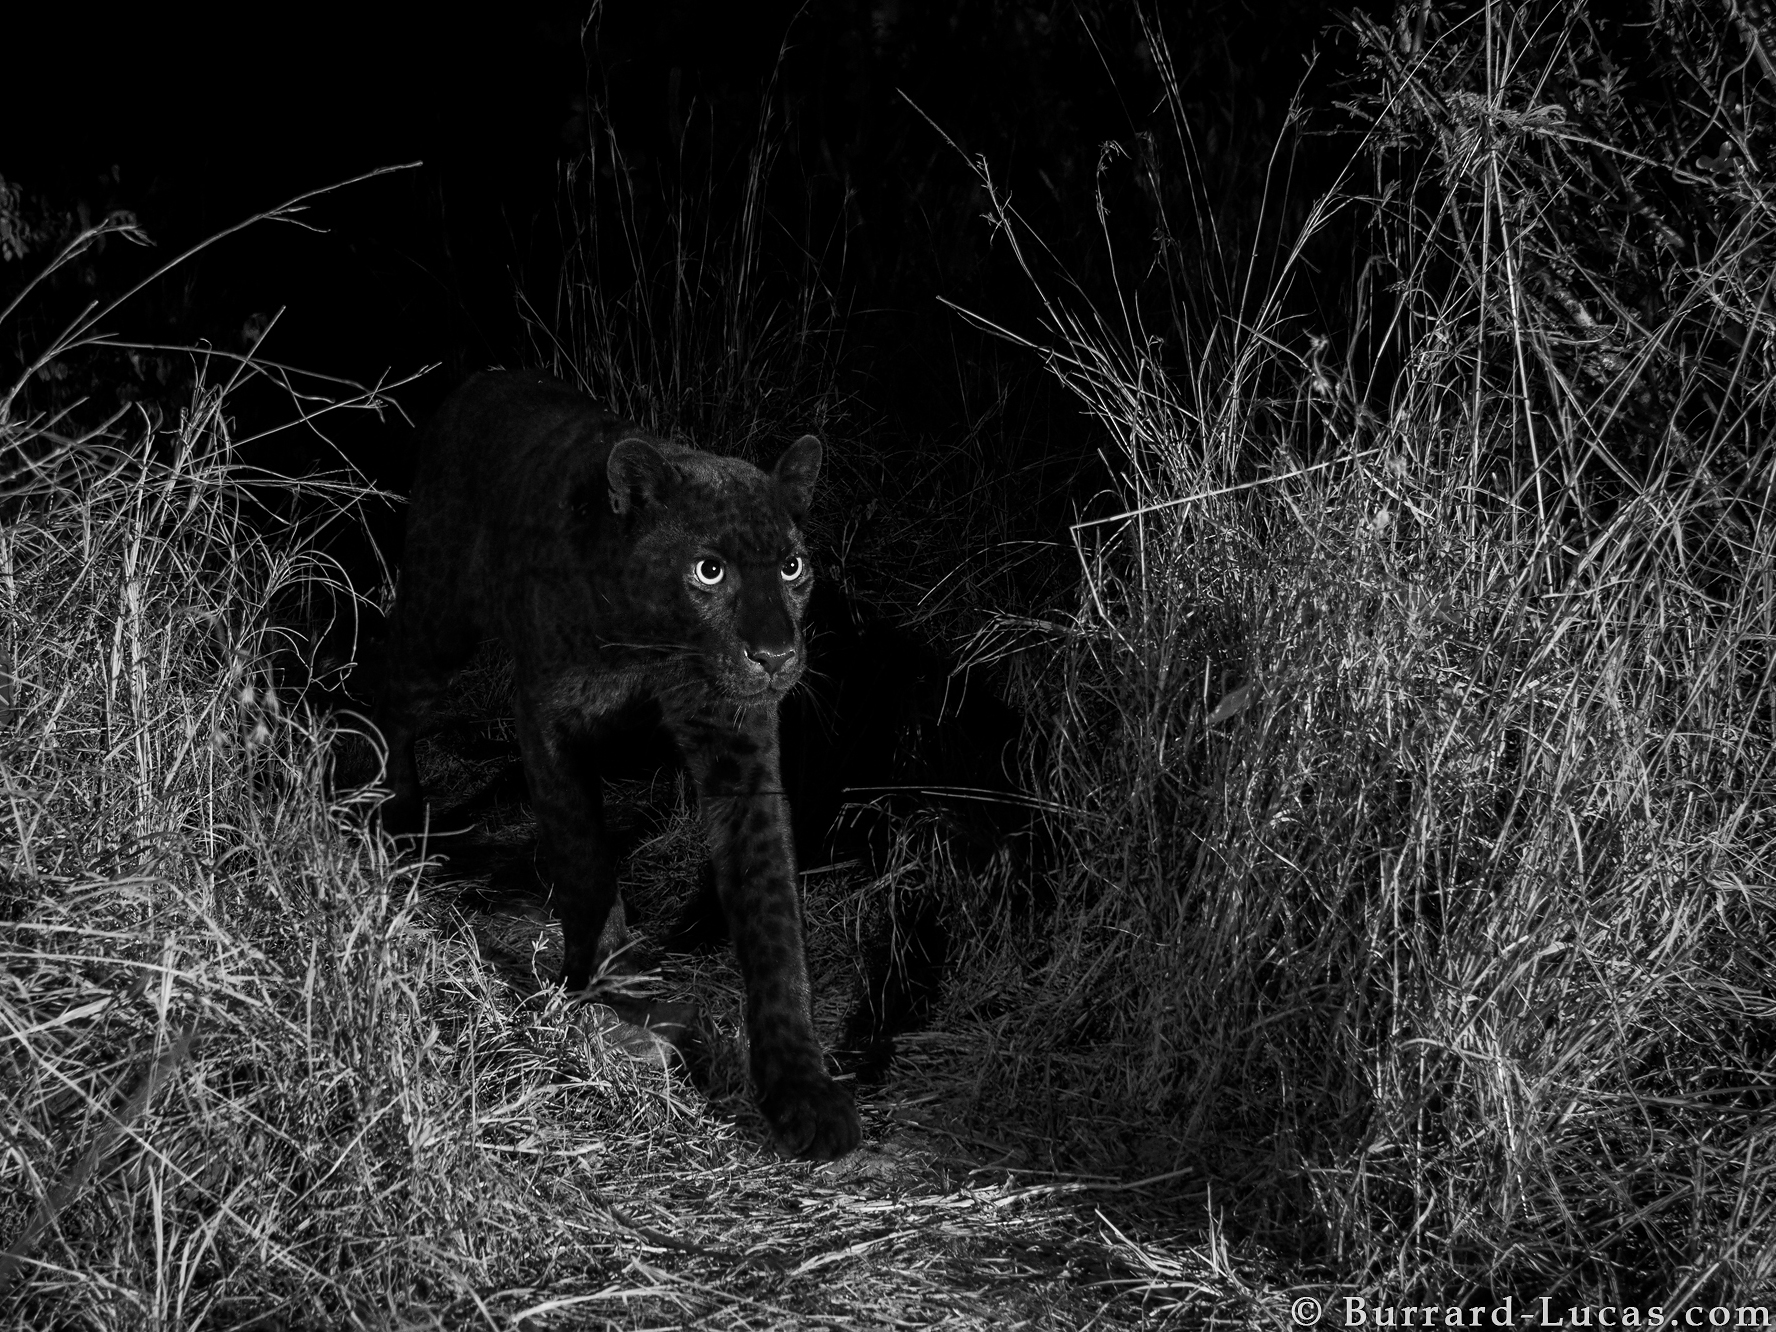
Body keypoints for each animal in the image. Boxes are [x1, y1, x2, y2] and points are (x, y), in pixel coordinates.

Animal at [375, 369, 860, 1161]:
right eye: (708, 570)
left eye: (792, 567)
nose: (775, 655)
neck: (653, 644)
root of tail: (479, 379)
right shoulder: (548, 714)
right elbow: (582, 854)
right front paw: (607, 986)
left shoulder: (738, 744)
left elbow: (771, 913)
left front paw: (802, 1089)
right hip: (440, 621)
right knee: (383, 681)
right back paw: (389, 818)